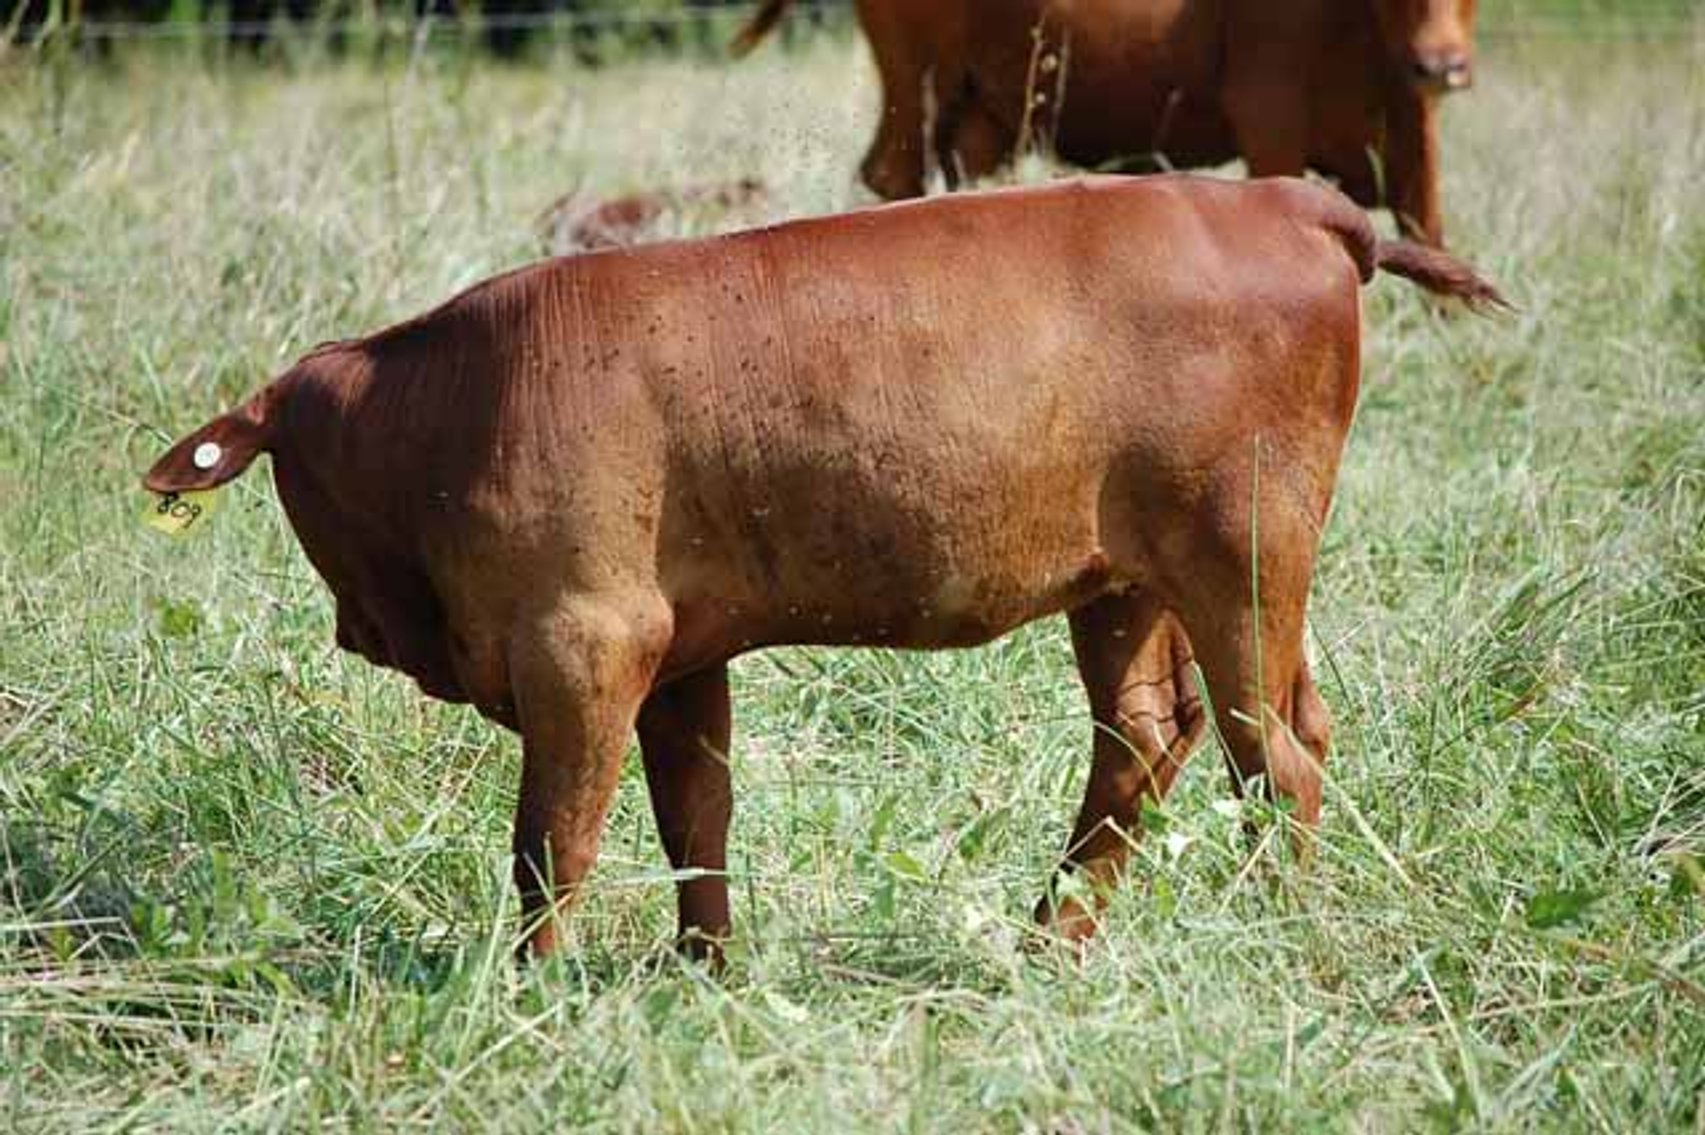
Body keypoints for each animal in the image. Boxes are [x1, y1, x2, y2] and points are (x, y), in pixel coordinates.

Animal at [144, 176, 1505, 959]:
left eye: (301, 470)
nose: (352, 626)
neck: (450, 404)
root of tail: (1284, 200)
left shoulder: (585, 639)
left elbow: (553, 842)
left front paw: (526, 990)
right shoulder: (680, 654)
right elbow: (696, 816)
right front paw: (705, 972)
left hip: (1244, 551)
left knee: (1269, 753)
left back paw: (1289, 941)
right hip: (1130, 578)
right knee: (1150, 736)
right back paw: (1045, 944)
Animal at [732, 0, 1480, 246]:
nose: (1442, 66)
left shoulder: (1414, 129)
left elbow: (1430, 227)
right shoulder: (1269, 116)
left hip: (982, 110)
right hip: (918, 81)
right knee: (892, 171)